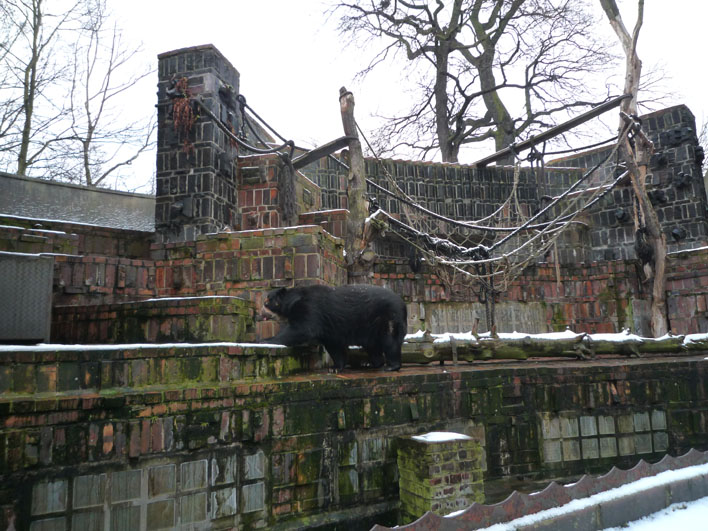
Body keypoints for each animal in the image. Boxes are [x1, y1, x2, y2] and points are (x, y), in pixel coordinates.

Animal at [262, 284, 406, 372]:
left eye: (267, 301)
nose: (260, 314)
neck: (292, 302)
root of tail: (403, 303)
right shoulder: (329, 328)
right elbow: (334, 346)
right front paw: (335, 367)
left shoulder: (310, 309)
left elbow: (301, 329)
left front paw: (265, 340)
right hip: (370, 326)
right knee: (373, 347)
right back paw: (374, 364)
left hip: (388, 317)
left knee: (390, 341)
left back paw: (391, 366)